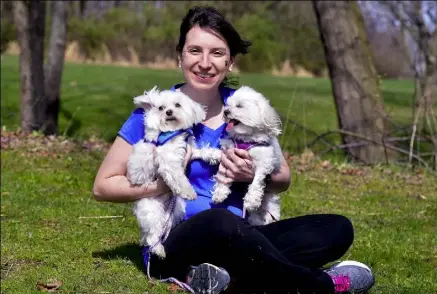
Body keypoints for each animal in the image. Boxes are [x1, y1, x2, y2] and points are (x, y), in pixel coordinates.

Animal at [126, 86, 209, 258]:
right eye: (161, 108)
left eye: (177, 105)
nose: (169, 112)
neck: (172, 131)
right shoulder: (168, 161)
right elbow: (178, 177)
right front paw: (189, 192)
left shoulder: (190, 150)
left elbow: (202, 151)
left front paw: (215, 155)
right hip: (152, 210)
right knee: (152, 234)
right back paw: (158, 249)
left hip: (175, 210)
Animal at [195, 86, 282, 226]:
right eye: (228, 105)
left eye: (239, 106)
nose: (225, 112)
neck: (245, 138)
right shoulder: (228, 154)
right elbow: (221, 170)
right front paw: (220, 192)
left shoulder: (264, 162)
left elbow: (257, 181)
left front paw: (252, 200)